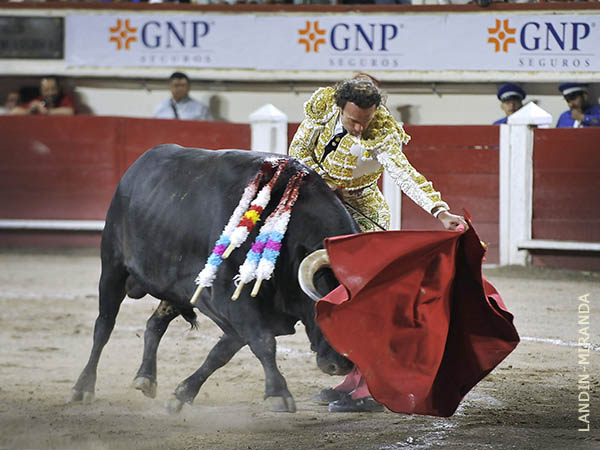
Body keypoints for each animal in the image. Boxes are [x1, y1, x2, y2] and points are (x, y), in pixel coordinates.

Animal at [70, 146, 360, 414]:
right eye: (322, 308)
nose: (341, 364)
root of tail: (136, 167)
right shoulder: (232, 301)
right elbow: (263, 342)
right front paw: (279, 394)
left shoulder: (240, 315)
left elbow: (221, 352)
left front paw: (182, 394)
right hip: (112, 266)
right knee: (104, 326)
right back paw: (83, 388)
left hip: (174, 288)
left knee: (154, 324)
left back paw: (145, 378)